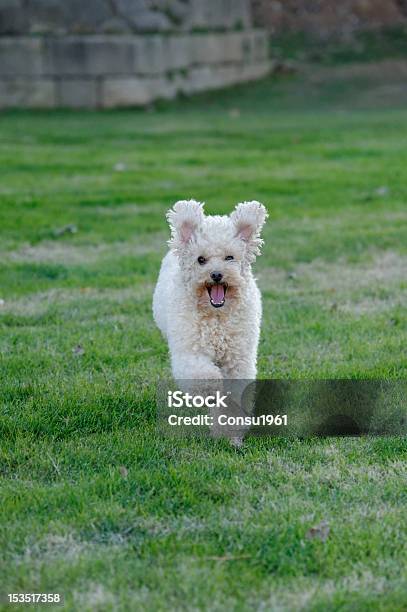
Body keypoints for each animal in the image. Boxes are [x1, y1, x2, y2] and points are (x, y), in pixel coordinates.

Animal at [153, 198, 268, 380]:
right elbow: (204, 374)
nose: (216, 274)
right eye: (201, 259)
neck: (216, 316)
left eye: (229, 257)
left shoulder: (239, 354)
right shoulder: (191, 350)